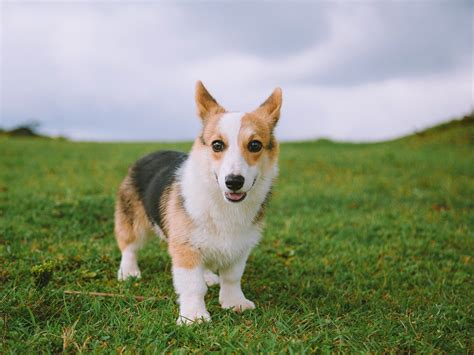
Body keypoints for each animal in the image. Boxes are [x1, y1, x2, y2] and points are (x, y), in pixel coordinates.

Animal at [113, 81, 282, 326]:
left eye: (255, 145)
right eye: (217, 145)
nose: (233, 182)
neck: (223, 204)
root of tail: (148, 154)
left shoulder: (240, 246)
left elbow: (232, 277)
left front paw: (235, 303)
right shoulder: (185, 248)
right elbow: (193, 286)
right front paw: (193, 317)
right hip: (133, 221)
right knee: (129, 246)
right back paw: (128, 272)